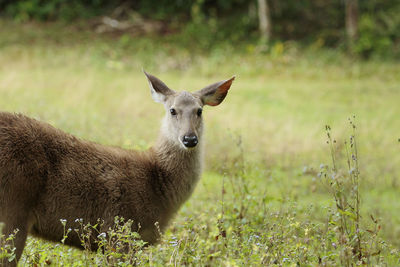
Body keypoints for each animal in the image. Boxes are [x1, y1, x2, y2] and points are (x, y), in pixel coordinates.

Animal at [0, 71, 236, 266]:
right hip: (13, 207)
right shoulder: (119, 232)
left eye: (199, 111)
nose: (189, 139)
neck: (158, 184)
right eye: (172, 110)